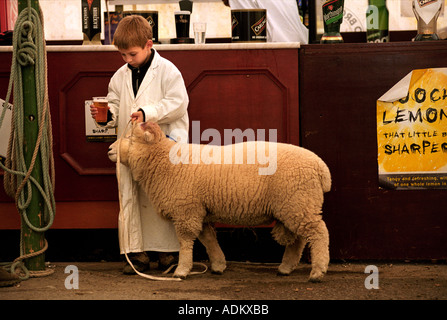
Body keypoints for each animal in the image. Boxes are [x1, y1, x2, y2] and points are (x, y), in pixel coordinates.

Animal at [108, 122, 332, 282]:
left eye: (130, 137)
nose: (110, 149)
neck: (164, 161)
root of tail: (321, 168)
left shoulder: (186, 210)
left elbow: (186, 241)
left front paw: (182, 270)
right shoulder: (200, 210)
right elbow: (208, 239)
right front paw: (218, 265)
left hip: (299, 202)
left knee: (319, 233)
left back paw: (317, 272)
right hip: (296, 205)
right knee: (300, 239)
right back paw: (286, 268)